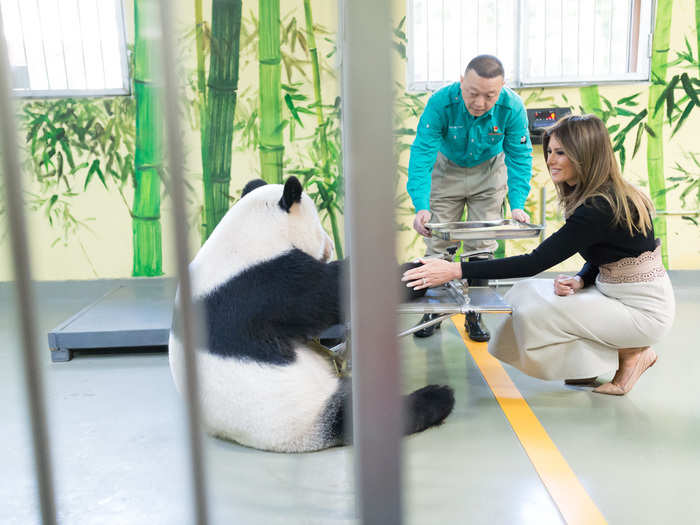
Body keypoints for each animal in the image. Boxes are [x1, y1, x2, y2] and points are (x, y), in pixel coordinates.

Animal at [168, 177, 454, 454]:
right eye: (319, 226)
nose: (330, 247)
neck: (249, 233)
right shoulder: (269, 284)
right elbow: (331, 294)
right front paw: (412, 271)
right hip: (305, 411)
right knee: (366, 414)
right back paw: (439, 396)